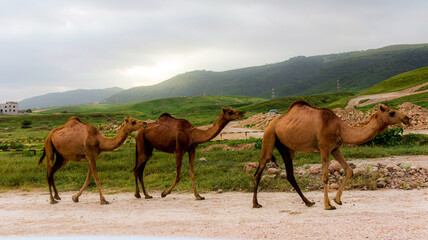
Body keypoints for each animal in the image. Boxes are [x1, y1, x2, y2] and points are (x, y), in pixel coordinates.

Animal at [252, 100, 410, 209]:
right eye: (392, 112)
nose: (407, 118)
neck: (340, 127)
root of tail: (272, 123)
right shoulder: (324, 148)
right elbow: (325, 176)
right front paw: (328, 205)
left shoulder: (335, 148)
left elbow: (349, 170)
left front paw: (337, 200)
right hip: (269, 135)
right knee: (260, 169)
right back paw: (255, 204)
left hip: (285, 147)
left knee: (290, 174)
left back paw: (308, 202)